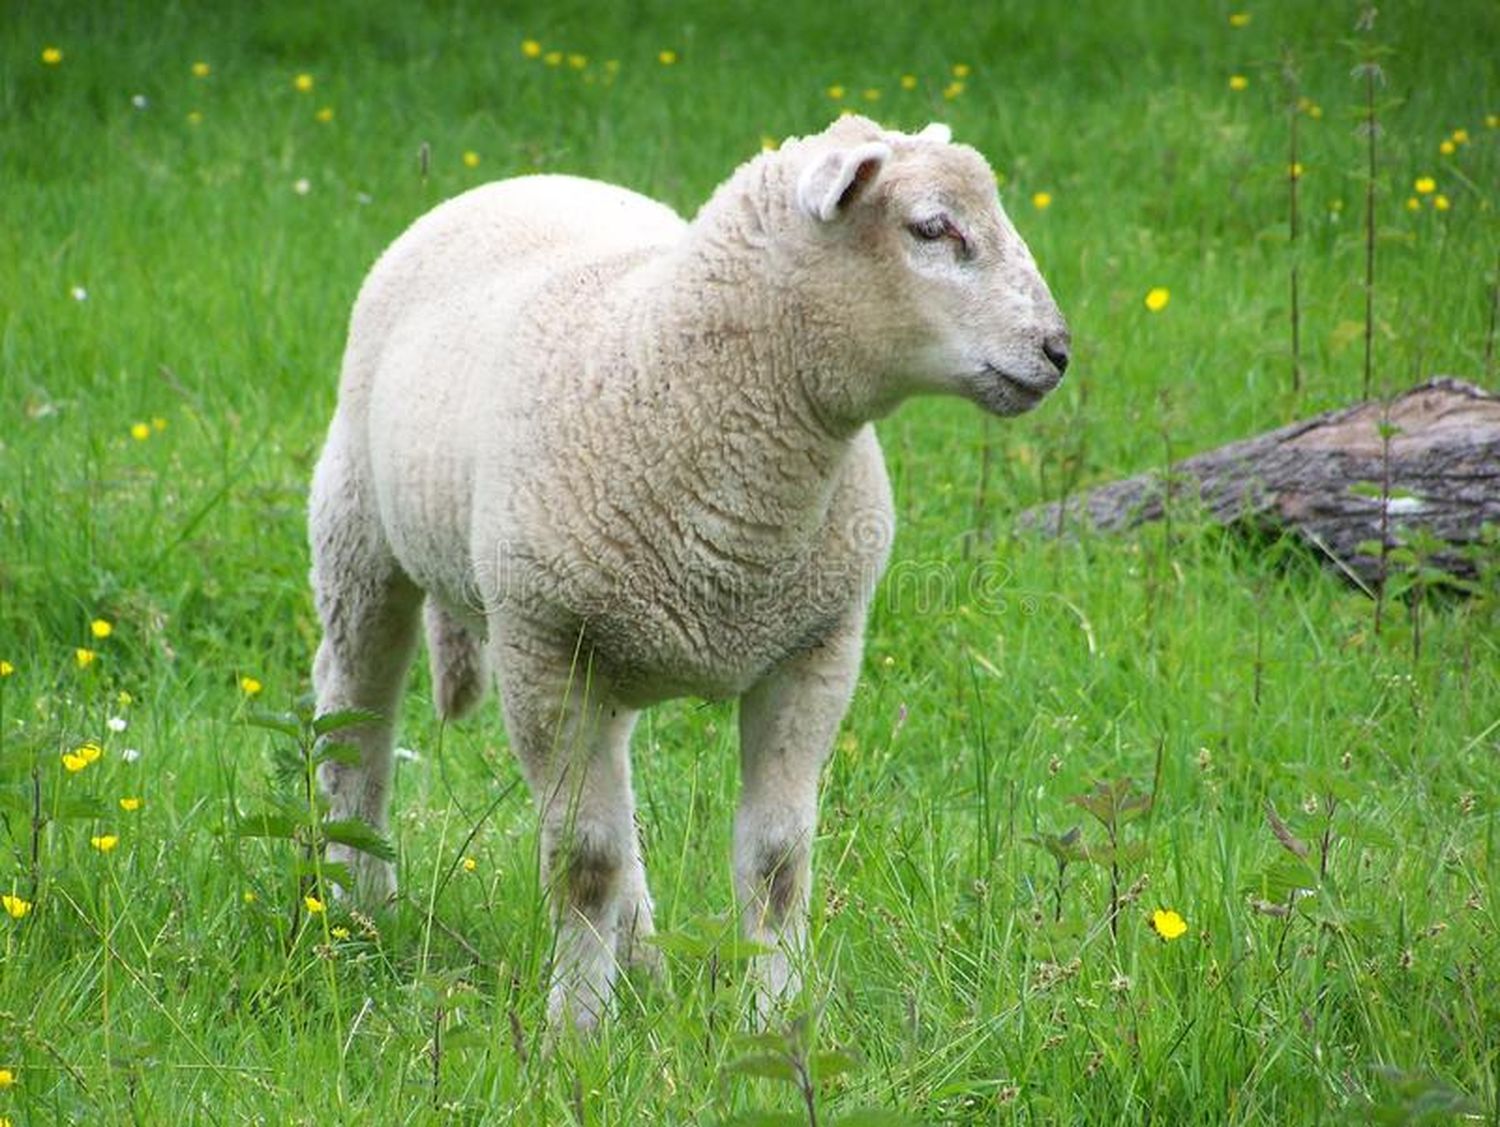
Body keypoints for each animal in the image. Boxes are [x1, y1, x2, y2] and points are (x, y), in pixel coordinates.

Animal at [310, 114, 1074, 1032]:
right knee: (354, 722)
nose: (1058, 351)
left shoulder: (815, 648)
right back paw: (363, 909)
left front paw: (777, 1019)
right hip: (359, 534)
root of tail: (524, 178)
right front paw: (577, 1031)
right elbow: (583, 860)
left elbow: (776, 861)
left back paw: (640, 959)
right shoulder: (543, 649)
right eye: (932, 228)